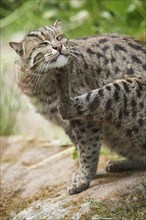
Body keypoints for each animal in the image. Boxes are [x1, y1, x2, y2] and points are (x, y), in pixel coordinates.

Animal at [10, 21, 146, 194]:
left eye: (59, 37)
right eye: (42, 43)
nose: (59, 47)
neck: (41, 81)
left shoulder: (85, 122)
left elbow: (87, 148)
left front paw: (83, 178)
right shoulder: (65, 125)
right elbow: (80, 146)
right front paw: (86, 174)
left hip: (120, 91)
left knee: (68, 107)